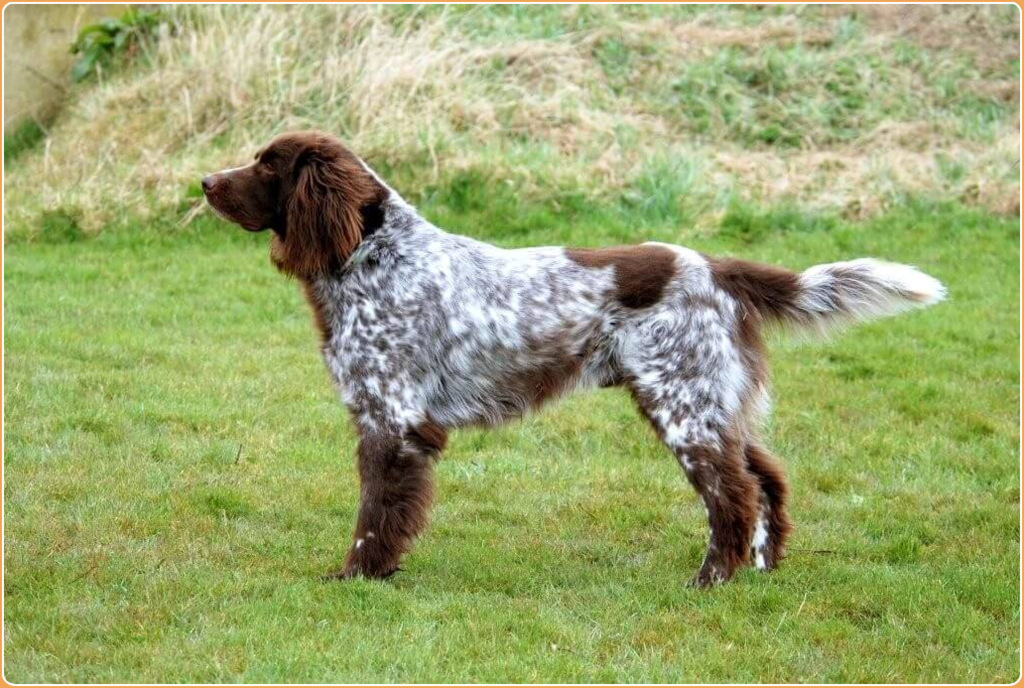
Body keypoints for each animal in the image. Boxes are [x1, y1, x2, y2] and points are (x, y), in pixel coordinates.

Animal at [203, 130, 946, 585]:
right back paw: (760, 571)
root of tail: (714, 266)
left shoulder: (394, 422)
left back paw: (711, 580)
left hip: (683, 407)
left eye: (269, 164)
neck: (372, 259)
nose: (206, 181)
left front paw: (358, 576)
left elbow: (375, 517)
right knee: (765, 483)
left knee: (732, 496)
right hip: (716, 403)